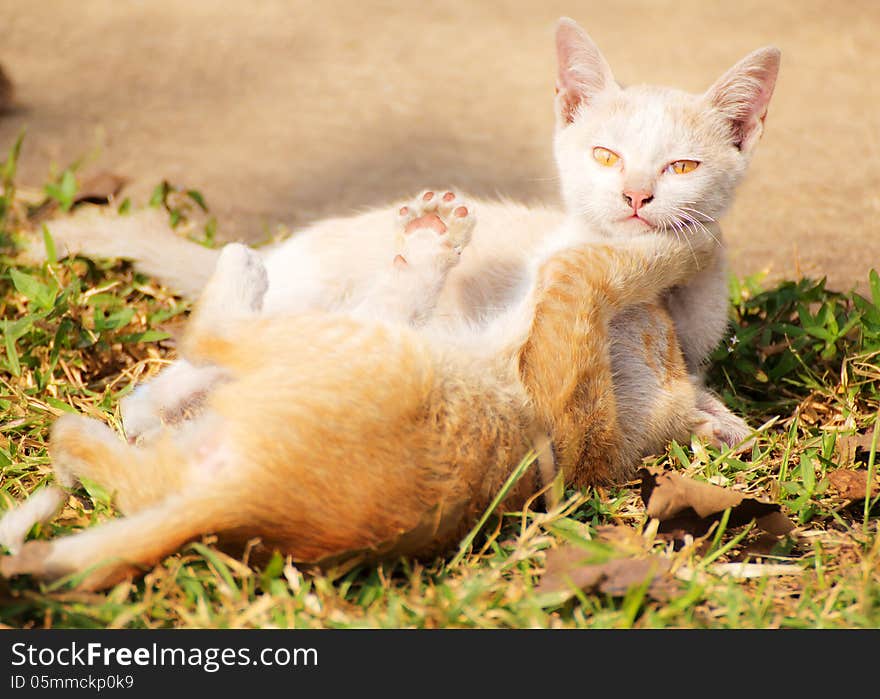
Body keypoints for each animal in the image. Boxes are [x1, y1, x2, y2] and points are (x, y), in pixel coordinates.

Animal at [32, 19, 776, 448]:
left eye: (682, 167)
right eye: (605, 156)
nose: (636, 195)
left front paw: (715, 415)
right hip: (315, 300)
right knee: (176, 377)